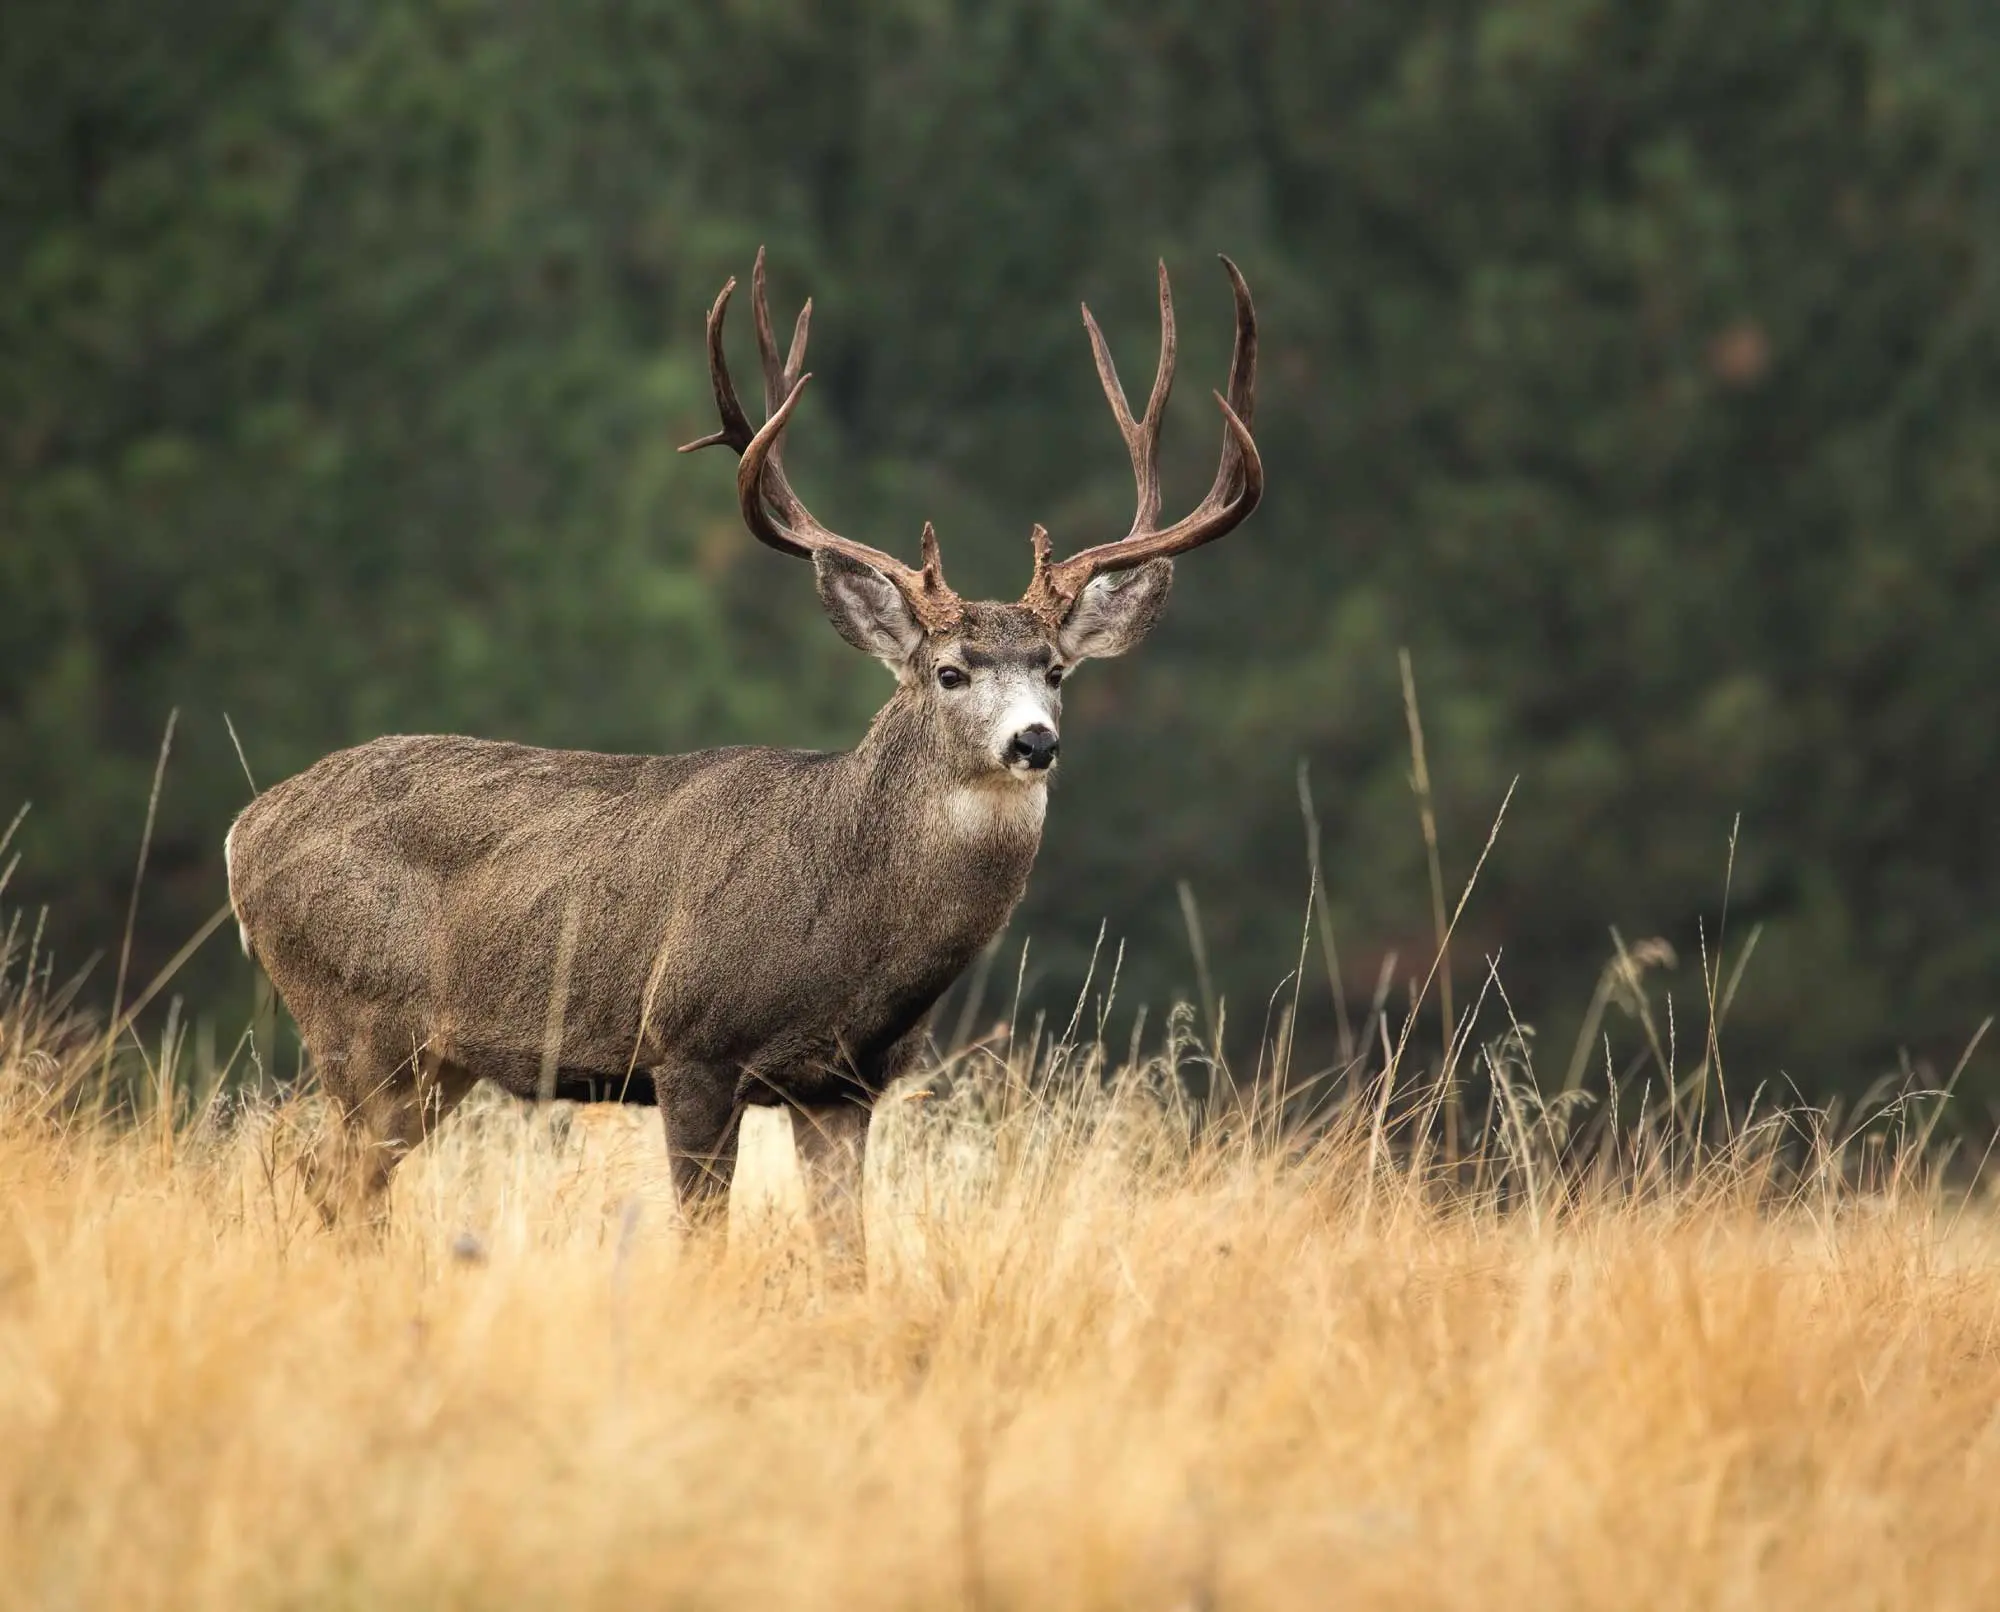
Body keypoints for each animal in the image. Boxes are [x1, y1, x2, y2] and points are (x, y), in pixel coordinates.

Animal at [224, 249, 1261, 1262]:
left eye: (1054, 669)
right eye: (951, 671)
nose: (1034, 739)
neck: (850, 927)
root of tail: (246, 831)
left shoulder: (845, 1085)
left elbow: (848, 1257)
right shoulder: (688, 1045)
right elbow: (701, 1242)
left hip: (431, 1061)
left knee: (344, 1182)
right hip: (357, 1018)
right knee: (332, 1176)